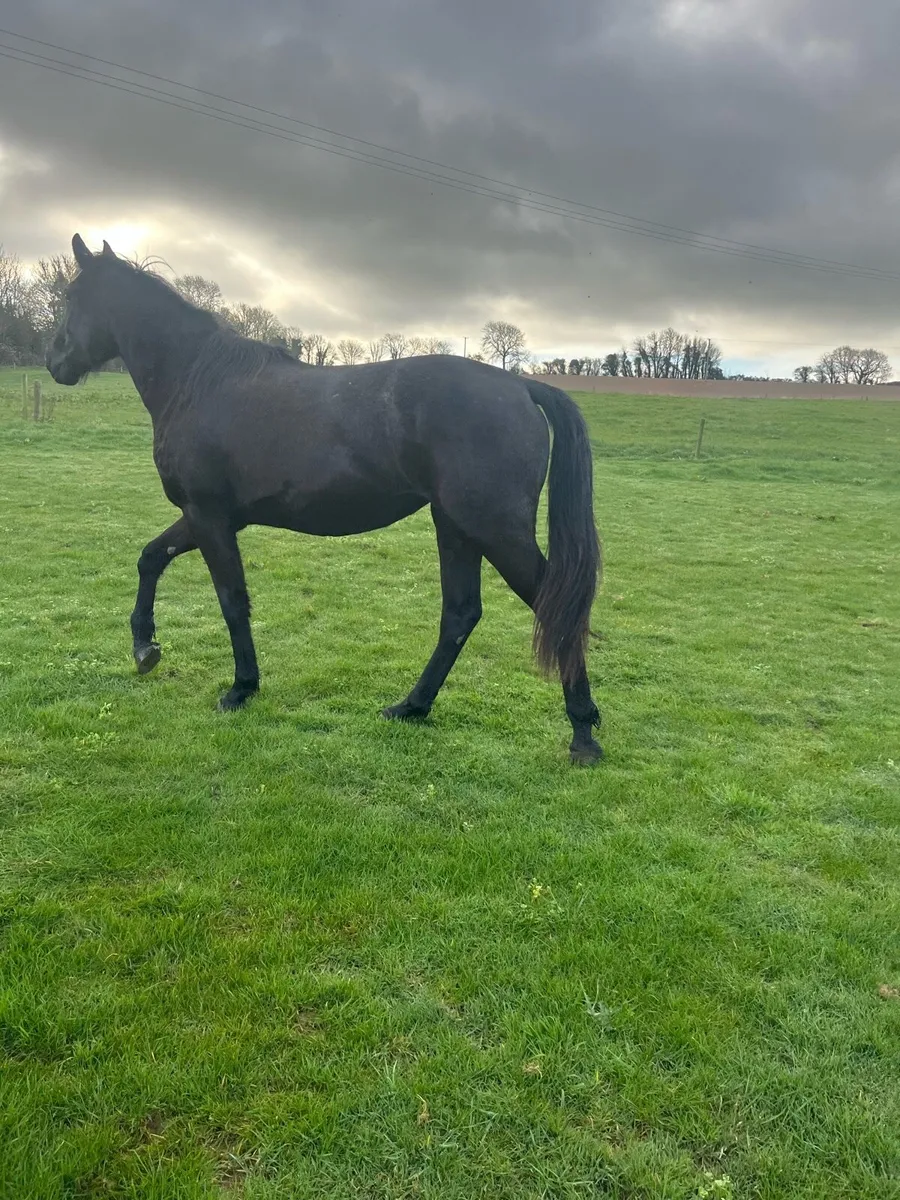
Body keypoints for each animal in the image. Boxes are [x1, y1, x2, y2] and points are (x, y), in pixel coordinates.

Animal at [46, 234, 603, 764]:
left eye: (72, 297)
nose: (54, 361)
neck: (199, 380)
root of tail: (520, 386)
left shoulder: (209, 516)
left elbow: (232, 600)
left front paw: (241, 688)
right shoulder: (209, 516)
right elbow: (150, 558)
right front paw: (145, 646)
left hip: (495, 530)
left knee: (553, 608)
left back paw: (583, 735)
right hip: (456, 527)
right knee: (460, 615)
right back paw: (411, 706)